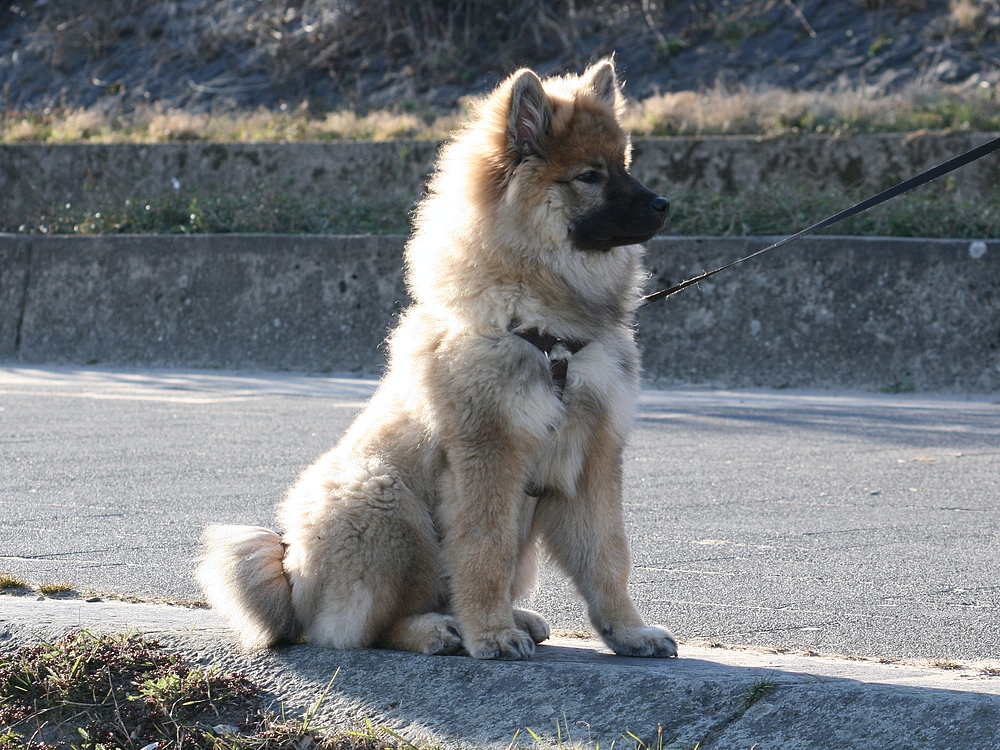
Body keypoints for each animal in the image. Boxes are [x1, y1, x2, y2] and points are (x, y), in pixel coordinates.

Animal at [198, 58, 676, 660]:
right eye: (590, 176)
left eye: (625, 166)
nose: (664, 205)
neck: (549, 331)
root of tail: (292, 579)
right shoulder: (487, 452)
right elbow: (483, 553)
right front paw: (491, 635)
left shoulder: (593, 454)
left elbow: (608, 558)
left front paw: (630, 632)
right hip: (386, 499)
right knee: (370, 627)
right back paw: (441, 630)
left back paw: (514, 618)